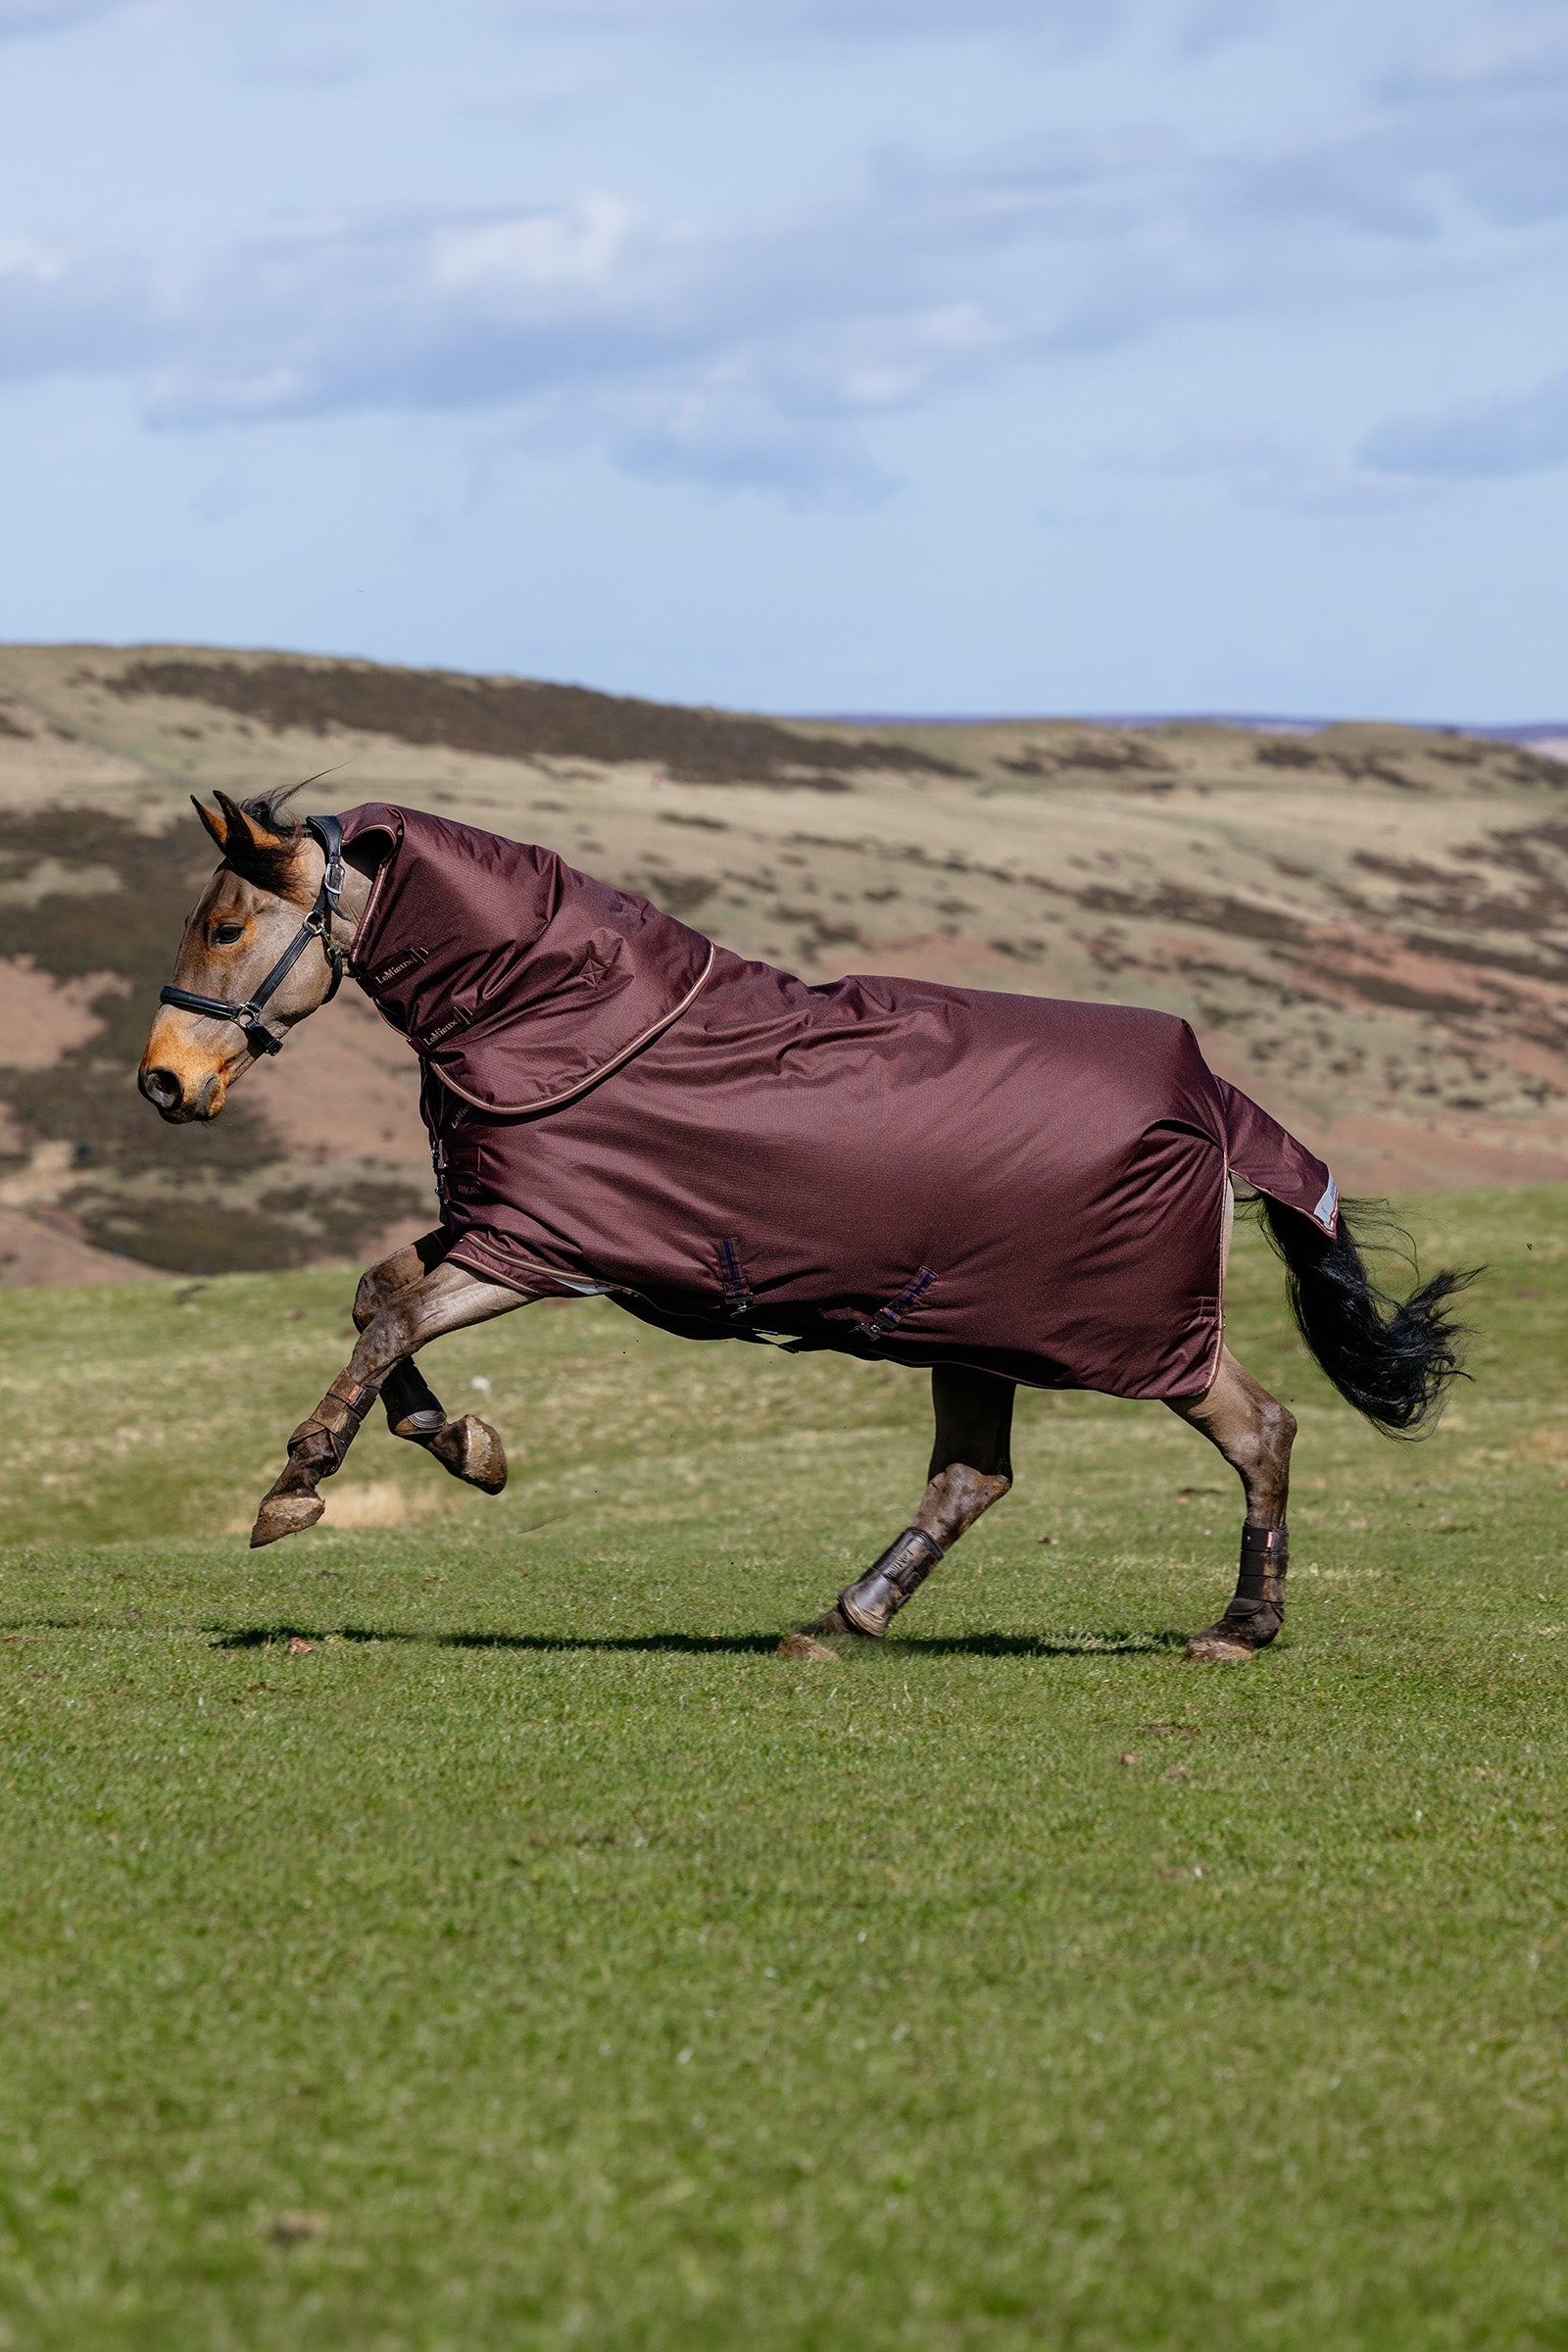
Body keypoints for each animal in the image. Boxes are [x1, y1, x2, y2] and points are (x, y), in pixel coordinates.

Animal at [139, 787, 1469, 1662]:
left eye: (223, 927)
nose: (164, 1082)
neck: (555, 1013)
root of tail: (1210, 1096)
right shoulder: (501, 1225)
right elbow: (377, 1298)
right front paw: (463, 1442)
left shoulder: (537, 1247)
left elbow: (393, 1318)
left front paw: (300, 1484)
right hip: (970, 1331)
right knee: (972, 1479)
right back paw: (845, 1618)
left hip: (1126, 1338)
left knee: (1259, 1430)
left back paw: (1239, 1627)